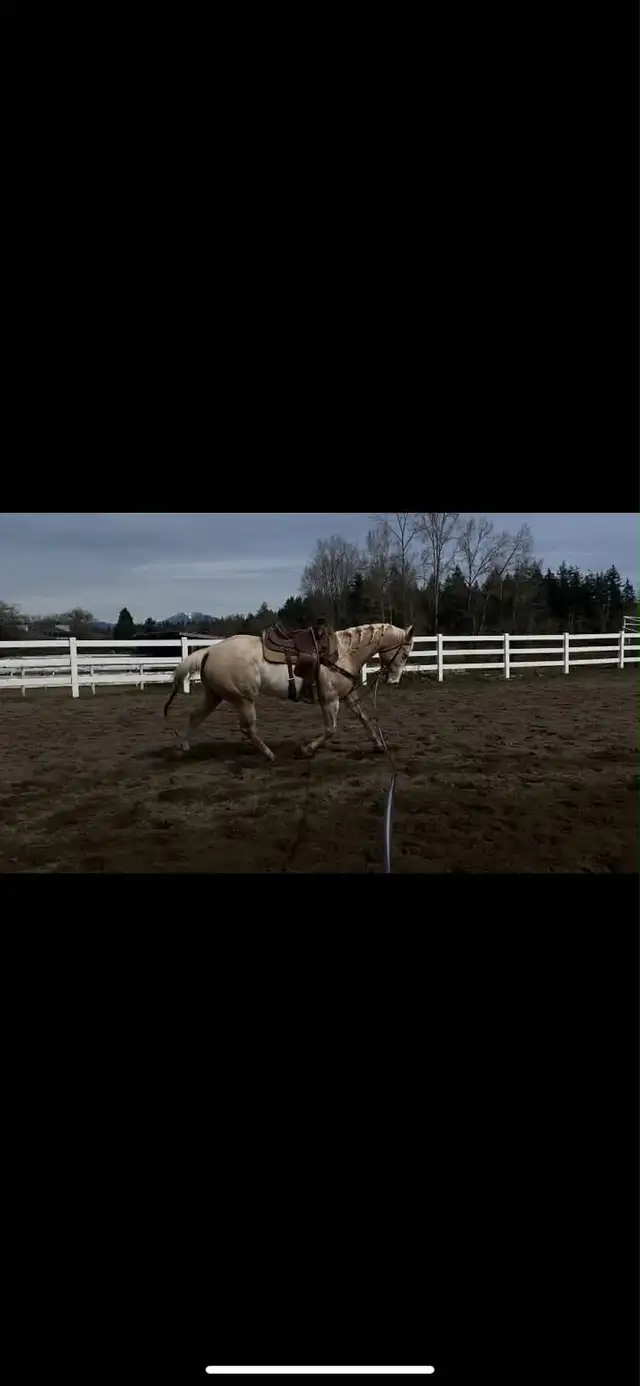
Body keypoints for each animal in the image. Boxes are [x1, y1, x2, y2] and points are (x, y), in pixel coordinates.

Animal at [163, 622, 415, 762]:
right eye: (404, 654)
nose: (393, 679)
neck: (343, 653)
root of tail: (210, 651)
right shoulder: (330, 699)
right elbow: (330, 729)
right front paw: (305, 750)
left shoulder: (348, 696)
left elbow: (364, 718)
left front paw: (379, 745)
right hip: (243, 699)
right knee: (247, 728)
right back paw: (269, 755)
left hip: (214, 695)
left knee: (195, 717)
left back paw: (181, 749)